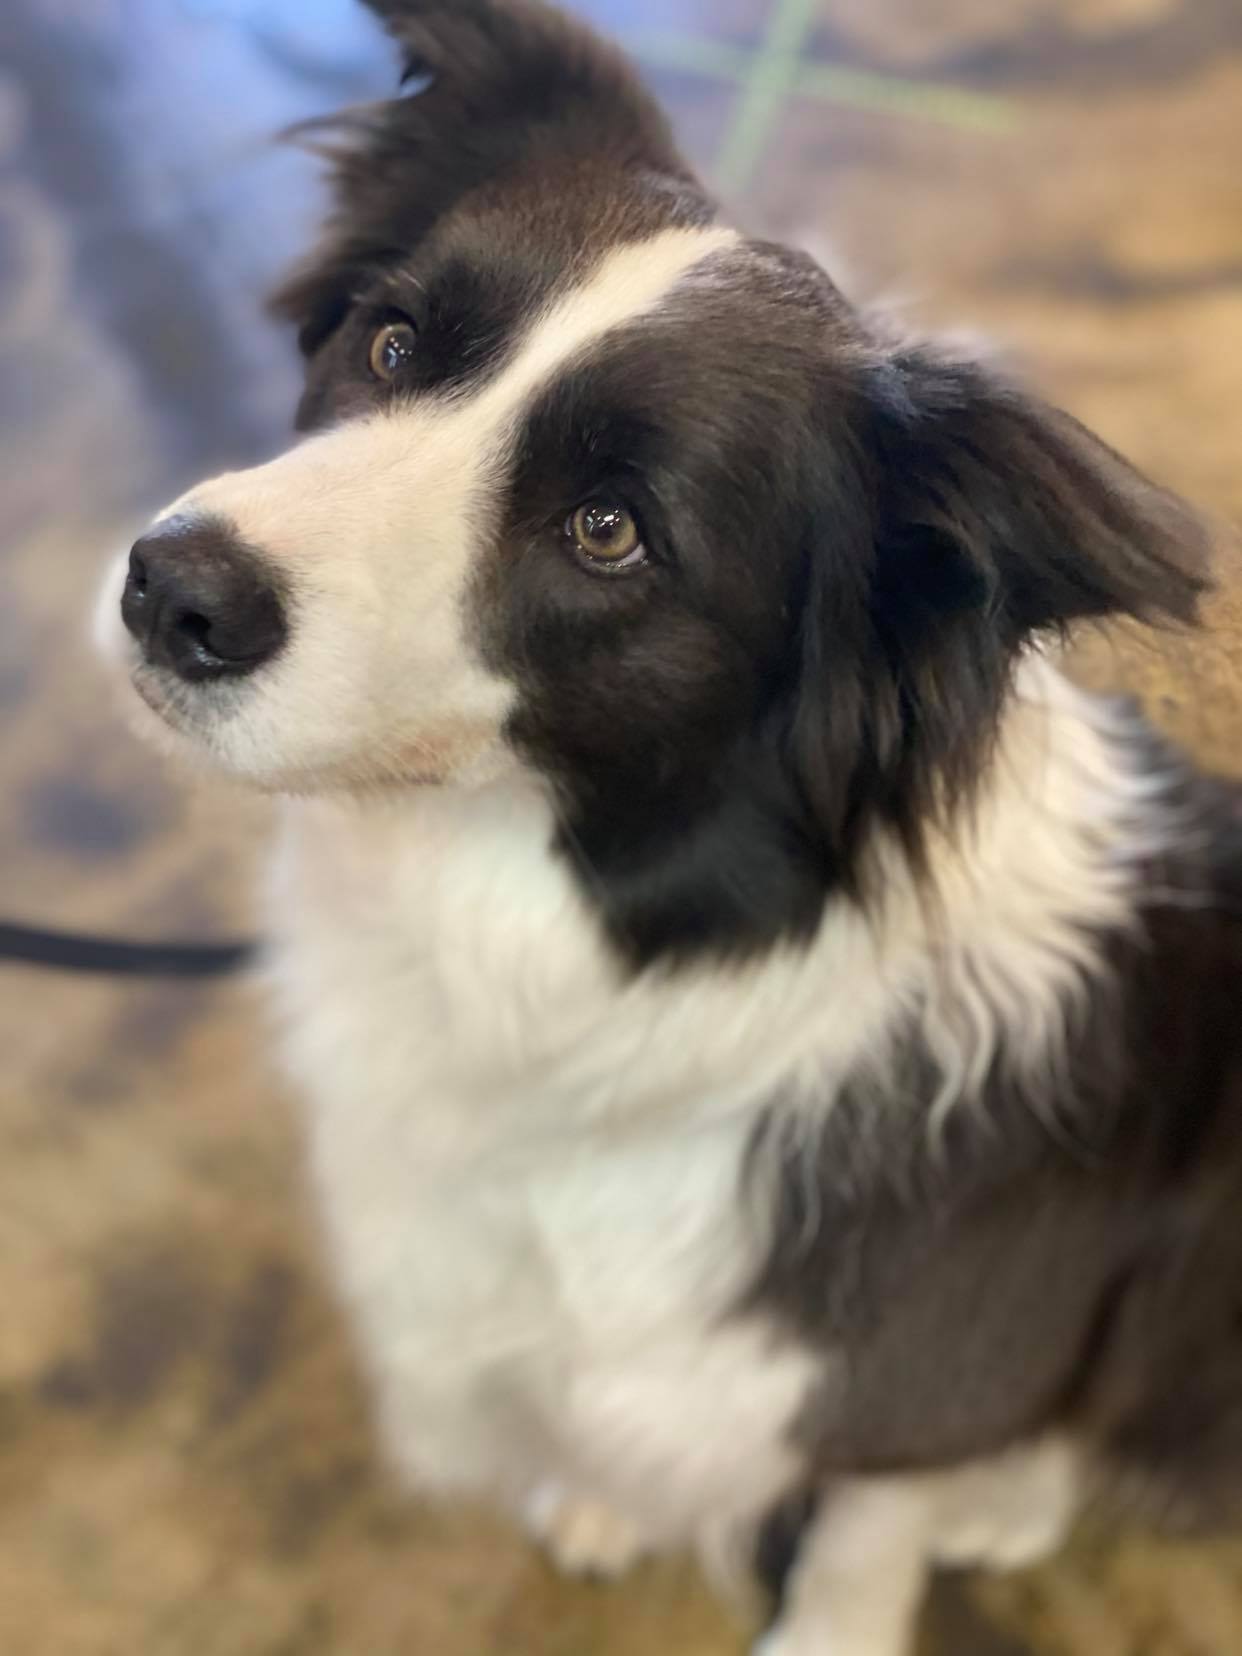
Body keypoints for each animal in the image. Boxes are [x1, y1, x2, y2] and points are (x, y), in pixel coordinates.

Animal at [97, 3, 1242, 1651]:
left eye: (609, 532)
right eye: (390, 341)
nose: (171, 590)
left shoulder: (916, 1385)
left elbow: (858, 1542)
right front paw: (605, 1503)